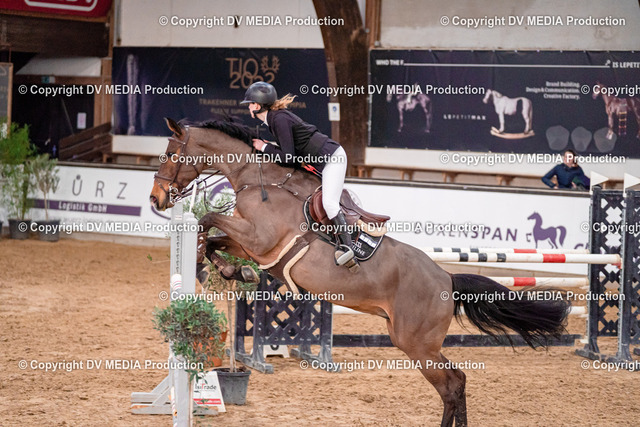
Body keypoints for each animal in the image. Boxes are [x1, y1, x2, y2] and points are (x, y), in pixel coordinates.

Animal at [150, 116, 570, 427]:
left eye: (169, 153)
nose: (155, 200)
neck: (258, 181)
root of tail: (448, 279)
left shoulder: (260, 238)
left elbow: (208, 220)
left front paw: (216, 266)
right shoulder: (254, 245)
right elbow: (214, 238)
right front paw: (232, 271)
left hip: (417, 344)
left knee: (452, 384)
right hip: (413, 341)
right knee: (458, 382)